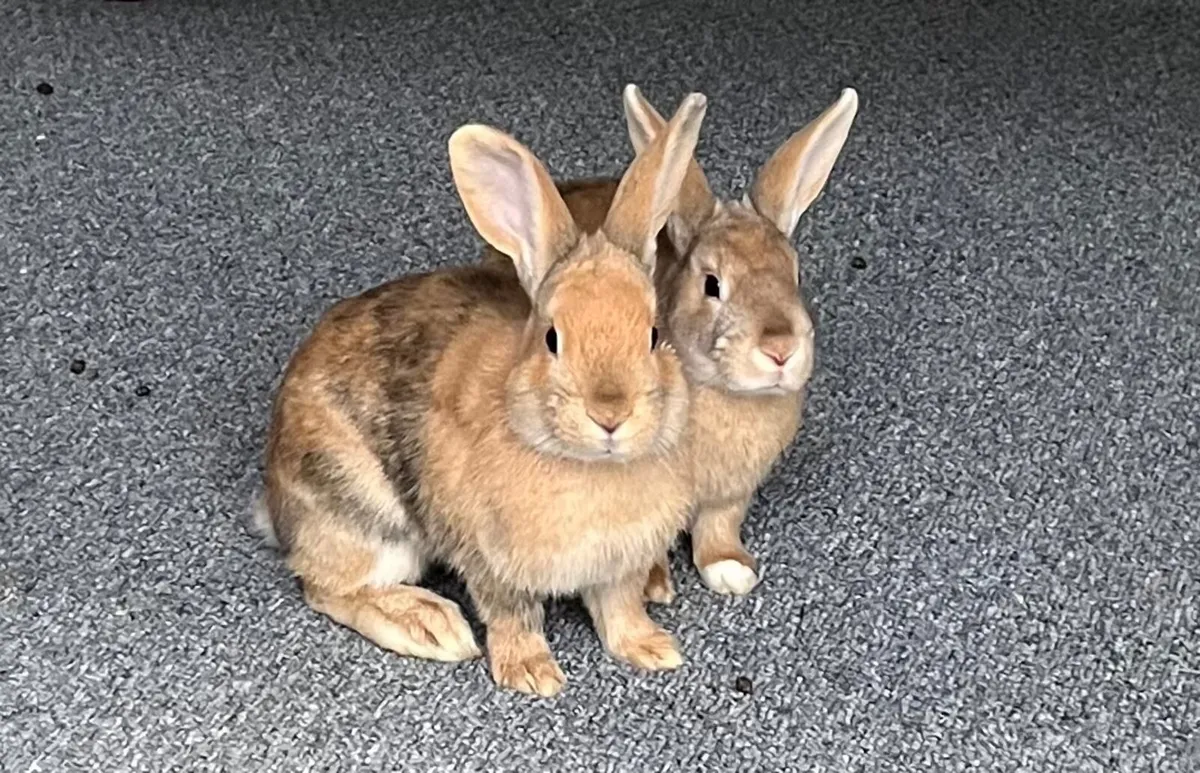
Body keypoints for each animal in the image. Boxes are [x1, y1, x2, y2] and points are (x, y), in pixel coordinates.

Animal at [257, 92, 709, 698]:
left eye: (654, 335)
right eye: (552, 339)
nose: (610, 414)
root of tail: (275, 504)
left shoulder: (619, 566)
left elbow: (619, 609)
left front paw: (652, 650)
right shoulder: (491, 562)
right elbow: (512, 616)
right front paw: (533, 675)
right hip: (363, 512)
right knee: (325, 585)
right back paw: (430, 625)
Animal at [481, 86, 859, 600]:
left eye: (796, 276)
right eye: (712, 284)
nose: (780, 348)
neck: (724, 394)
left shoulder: (730, 496)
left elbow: (718, 526)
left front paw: (730, 569)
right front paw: (654, 584)